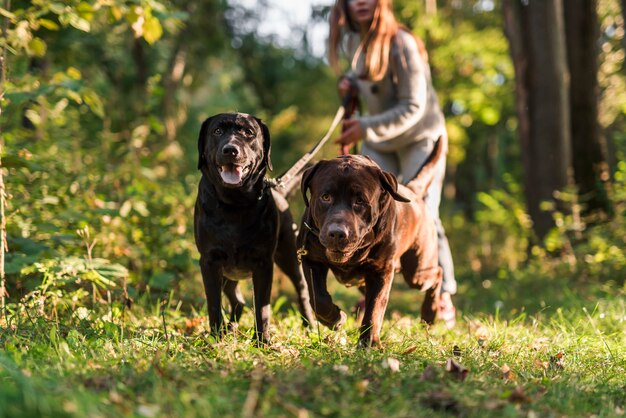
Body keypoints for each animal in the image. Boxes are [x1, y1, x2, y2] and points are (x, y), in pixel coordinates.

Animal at [194, 112, 312, 344]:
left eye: (248, 132)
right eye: (217, 131)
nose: (230, 149)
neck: (234, 205)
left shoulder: (263, 264)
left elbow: (262, 308)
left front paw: (262, 342)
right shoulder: (209, 262)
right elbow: (213, 304)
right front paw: (215, 337)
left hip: (289, 256)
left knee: (302, 291)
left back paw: (310, 325)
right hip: (227, 274)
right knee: (237, 300)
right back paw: (230, 328)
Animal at [294, 139, 442, 348]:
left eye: (360, 201)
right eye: (325, 197)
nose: (337, 233)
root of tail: (413, 191)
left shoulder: (381, 272)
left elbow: (375, 308)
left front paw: (369, 342)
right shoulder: (311, 259)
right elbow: (318, 297)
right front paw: (335, 318)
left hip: (418, 271)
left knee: (437, 274)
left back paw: (430, 314)